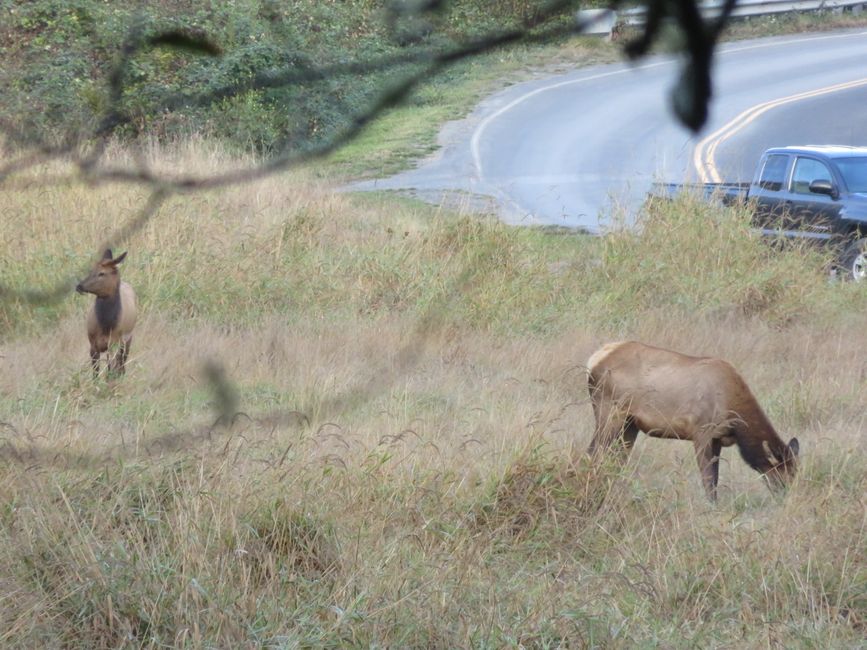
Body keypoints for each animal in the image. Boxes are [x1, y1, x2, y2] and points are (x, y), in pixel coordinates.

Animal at [584, 340, 800, 502]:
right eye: (783, 475)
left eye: (795, 473)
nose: (787, 498)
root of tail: (593, 361)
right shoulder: (701, 432)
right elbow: (708, 478)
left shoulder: (717, 439)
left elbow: (715, 477)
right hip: (609, 411)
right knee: (594, 452)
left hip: (630, 423)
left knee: (616, 459)